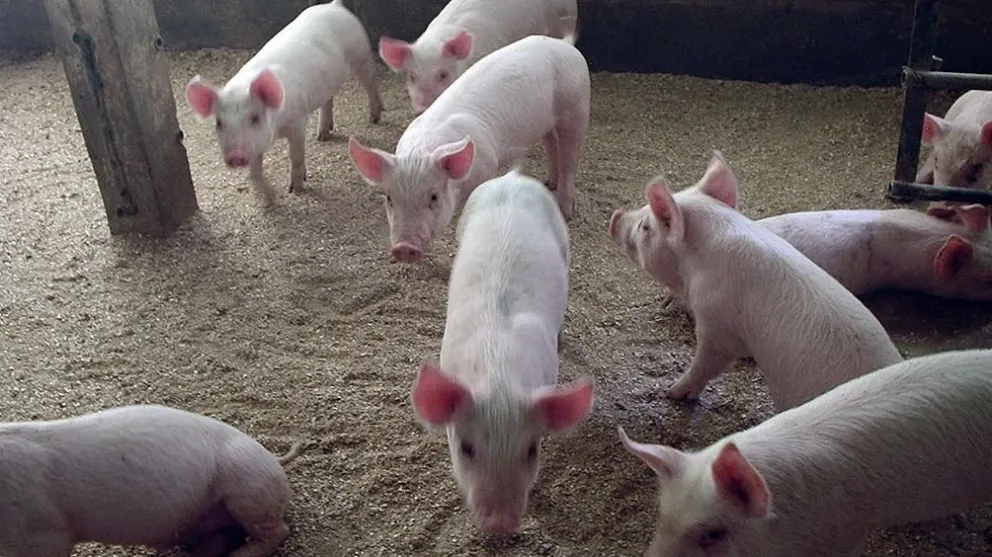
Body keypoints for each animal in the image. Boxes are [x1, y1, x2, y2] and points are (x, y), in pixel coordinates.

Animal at [185, 0, 384, 203]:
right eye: (218, 123)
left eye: (255, 118)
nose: (235, 156)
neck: (277, 129)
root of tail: (334, 5)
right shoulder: (255, 142)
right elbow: (255, 171)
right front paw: (269, 197)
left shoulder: (298, 122)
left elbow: (295, 156)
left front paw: (295, 190)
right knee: (328, 100)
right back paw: (322, 136)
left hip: (361, 55)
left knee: (370, 83)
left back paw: (374, 118)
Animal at [349, 34, 590, 263]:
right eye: (389, 198)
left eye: (434, 197)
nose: (403, 248)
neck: (420, 153)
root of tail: (564, 44)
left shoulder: (487, 165)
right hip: (547, 121)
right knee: (552, 144)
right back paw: (549, 183)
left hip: (576, 107)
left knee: (570, 157)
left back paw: (566, 210)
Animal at [409, 169, 594, 534]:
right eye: (466, 448)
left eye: (531, 450)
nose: (500, 523)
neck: (498, 371)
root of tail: (513, 178)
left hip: (563, 241)